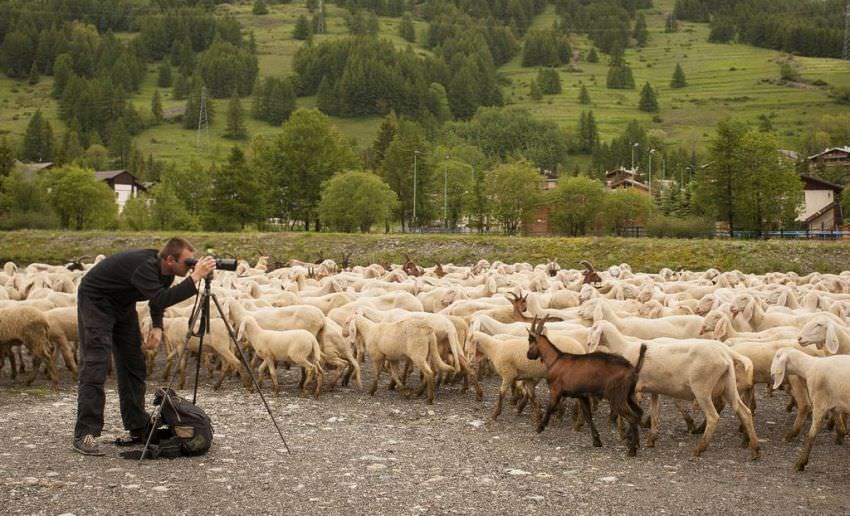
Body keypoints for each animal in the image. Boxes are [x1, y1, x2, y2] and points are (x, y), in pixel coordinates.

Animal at [524, 316, 644, 458]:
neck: (555, 359)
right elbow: (588, 416)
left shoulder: (555, 390)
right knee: (639, 412)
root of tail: (633, 370)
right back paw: (635, 444)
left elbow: (550, 407)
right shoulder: (582, 395)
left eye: (529, 340)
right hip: (628, 395)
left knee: (632, 417)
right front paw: (597, 441)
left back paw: (632, 450)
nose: (528, 355)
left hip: (617, 396)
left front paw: (540, 427)